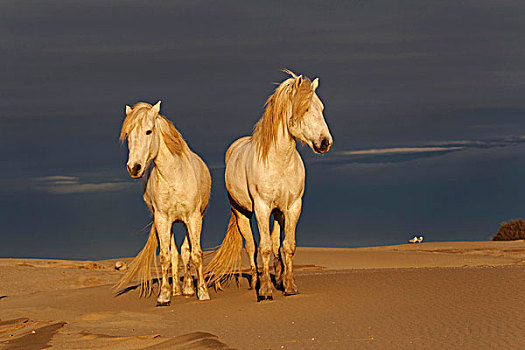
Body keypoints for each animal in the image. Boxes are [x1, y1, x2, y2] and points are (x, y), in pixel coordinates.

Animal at [116, 101, 211, 306]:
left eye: (148, 131)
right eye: (128, 134)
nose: (134, 168)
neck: (174, 176)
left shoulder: (193, 218)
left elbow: (195, 254)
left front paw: (202, 292)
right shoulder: (162, 219)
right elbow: (166, 257)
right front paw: (164, 295)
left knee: (185, 251)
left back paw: (189, 288)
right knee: (175, 253)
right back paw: (178, 289)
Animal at [205, 71, 332, 300]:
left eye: (321, 107)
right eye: (305, 108)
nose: (325, 142)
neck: (279, 160)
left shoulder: (292, 207)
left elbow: (287, 246)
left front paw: (289, 286)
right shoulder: (262, 208)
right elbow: (263, 247)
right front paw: (265, 291)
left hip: (278, 213)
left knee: (275, 245)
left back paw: (279, 279)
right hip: (242, 213)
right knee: (251, 246)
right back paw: (256, 282)